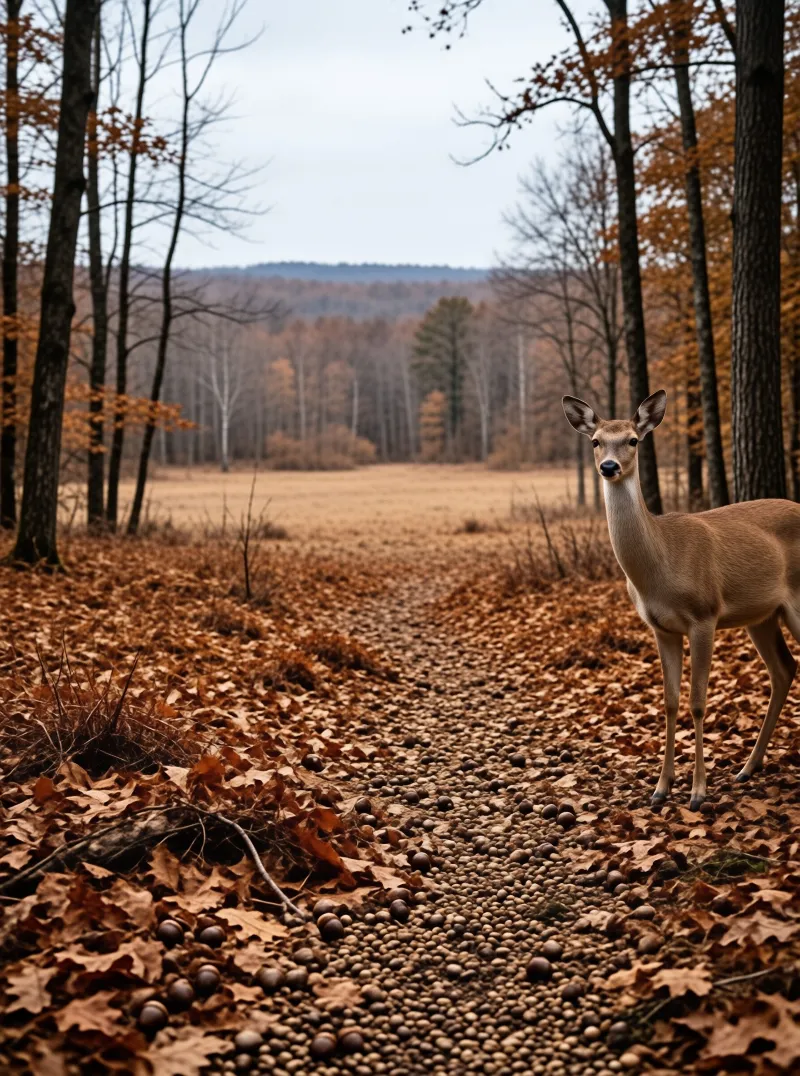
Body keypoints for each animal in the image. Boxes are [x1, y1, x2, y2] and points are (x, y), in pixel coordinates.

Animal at [562, 389, 800, 812]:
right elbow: (670, 701)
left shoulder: (704, 615)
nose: (608, 466)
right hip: (763, 616)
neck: (661, 566)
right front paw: (661, 787)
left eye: (633, 440)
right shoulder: (662, 628)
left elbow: (697, 702)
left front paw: (698, 791)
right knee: (784, 669)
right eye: (595, 441)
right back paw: (748, 767)